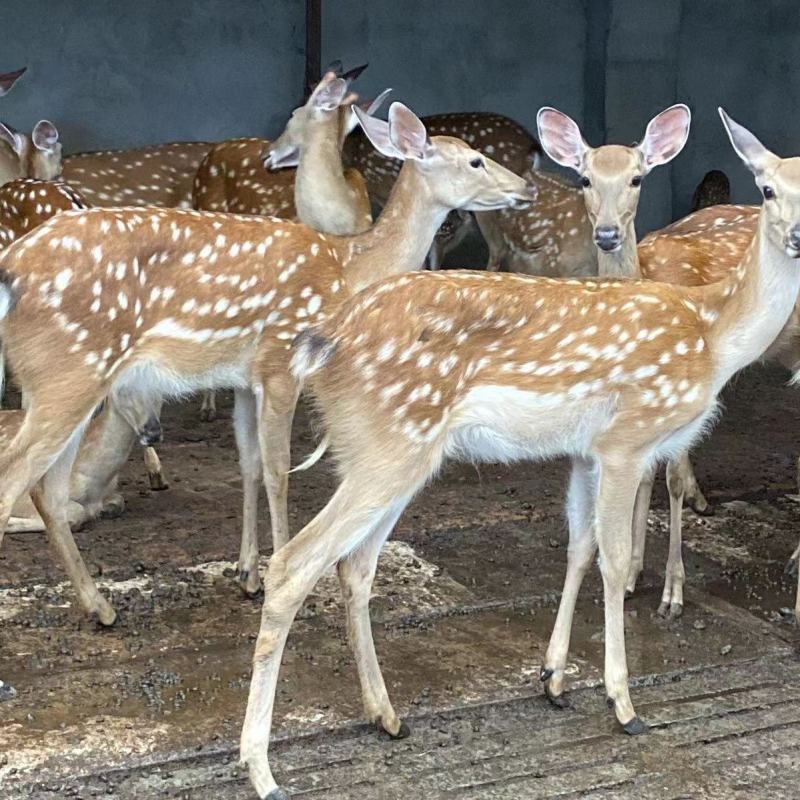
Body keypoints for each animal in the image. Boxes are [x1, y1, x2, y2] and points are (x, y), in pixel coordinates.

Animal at [236, 106, 800, 799]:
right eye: (767, 189)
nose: (795, 234)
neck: (713, 335)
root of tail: (324, 343)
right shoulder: (626, 439)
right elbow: (614, 558)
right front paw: (623, 704)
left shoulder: (586, 450)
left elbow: (579, 547)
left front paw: (553, 678)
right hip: (389, 441)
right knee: (295, 564)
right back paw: (263, 769)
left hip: (385, 451)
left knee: (355, 565)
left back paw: (386, 716)